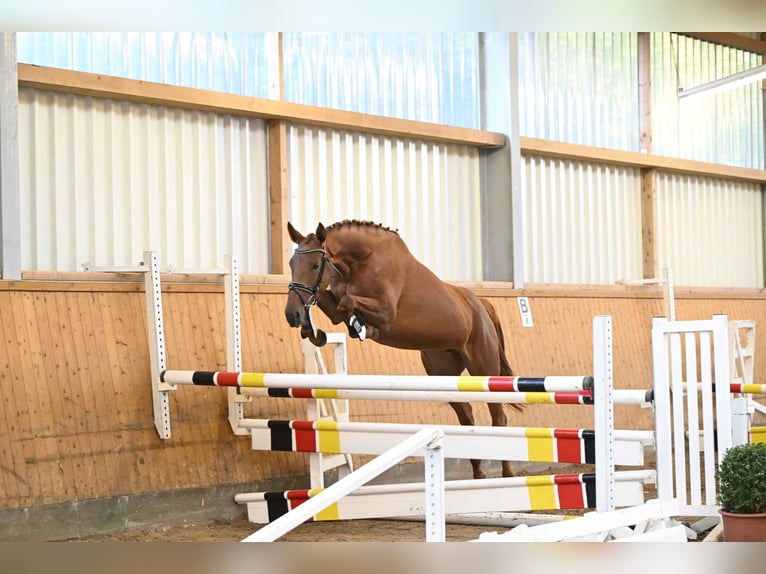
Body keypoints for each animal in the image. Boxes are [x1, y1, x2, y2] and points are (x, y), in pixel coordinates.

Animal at [284, 218, 524, 480]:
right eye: (291, 264)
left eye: (315, 265)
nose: (291, 315)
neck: (360, 261)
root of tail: (481, 304)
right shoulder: (335, 303)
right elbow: (333, 302)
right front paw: (312, 330)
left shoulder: (386, 312)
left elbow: (348, 302)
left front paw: (362, 327)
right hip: (443, 374)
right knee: (467, 416)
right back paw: (478, 475)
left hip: (484, 368)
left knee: (498, 416)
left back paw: (508, 474)